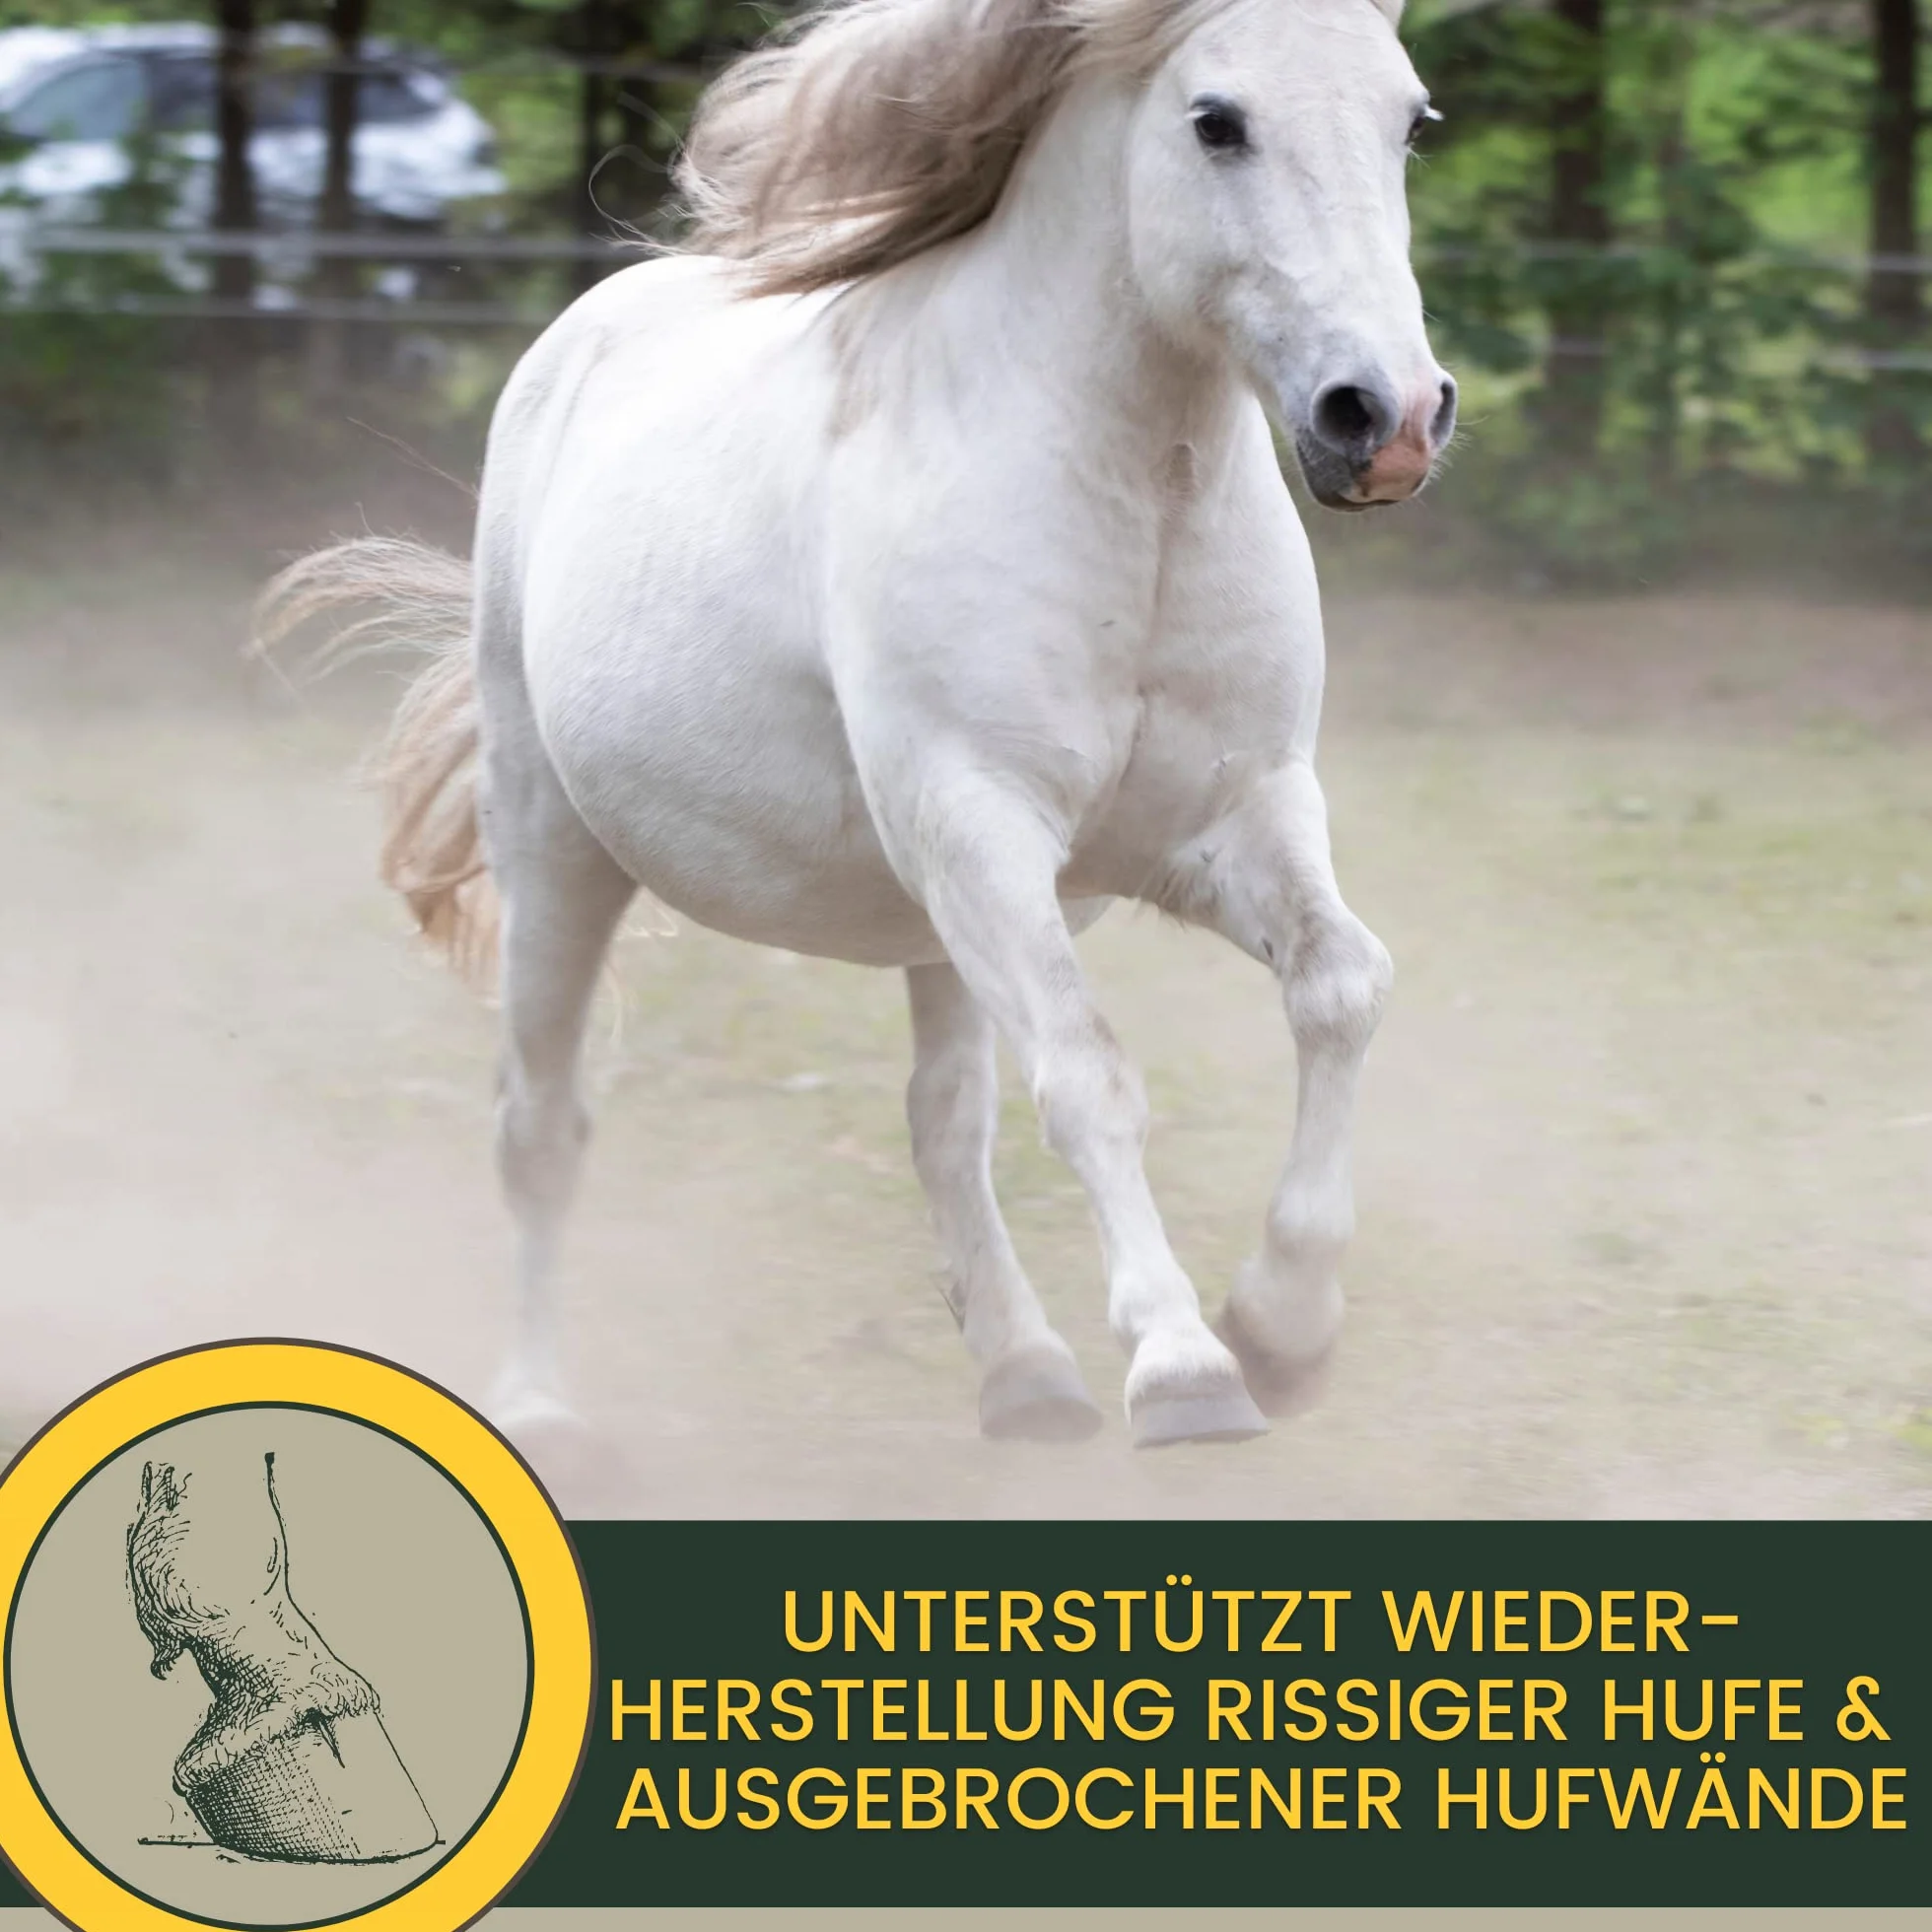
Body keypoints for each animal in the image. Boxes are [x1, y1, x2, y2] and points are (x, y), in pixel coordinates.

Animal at [261, 0, 1456, 1456]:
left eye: (1411, 119)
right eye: (1215, 120)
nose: (1385, 419)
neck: (1132, 504)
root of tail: (579, 339)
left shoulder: (1234, 815)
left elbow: (1342, 989)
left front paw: (1283, 1329)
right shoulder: (980, 820)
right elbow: (1089, 1075)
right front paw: (1185, 1369)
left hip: (934, 919)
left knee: (943, 1121)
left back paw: (1026, 1375)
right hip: (560, 849)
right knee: (539, 1125)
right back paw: (539, 1409)